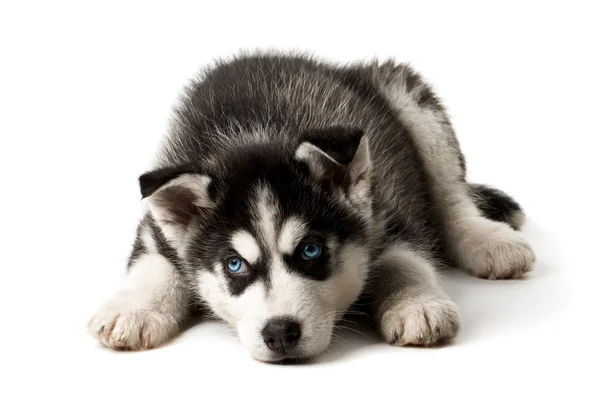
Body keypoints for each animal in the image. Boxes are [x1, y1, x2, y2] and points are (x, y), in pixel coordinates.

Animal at [88, 51, 536, 360]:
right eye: (234, 265)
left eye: (311, 250)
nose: (280, 334)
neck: (255, 136)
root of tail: (335, 67)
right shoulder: (157, 226)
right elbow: (154, 261)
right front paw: (133, 309)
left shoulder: (387, 209)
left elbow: (403, 260)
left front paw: (417, 303)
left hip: (407, 97)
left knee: (451, 194)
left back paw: (485, 238)